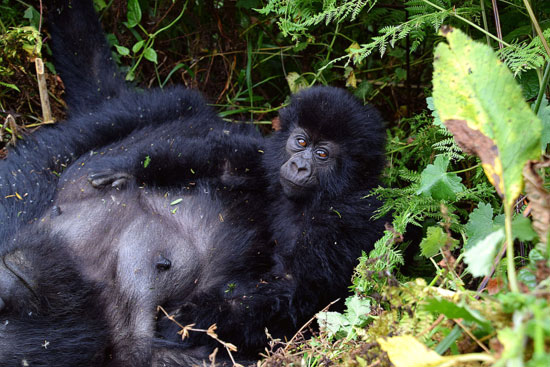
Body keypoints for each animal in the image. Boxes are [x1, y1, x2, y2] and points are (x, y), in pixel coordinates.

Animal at [0, 1, 388, 366]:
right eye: (301, 142)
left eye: (322, 155)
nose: (299, 164)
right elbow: (240, 160)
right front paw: (135, 169)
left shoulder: (344, 222)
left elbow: (290, 288)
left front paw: (190, 318)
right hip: (158, 109)